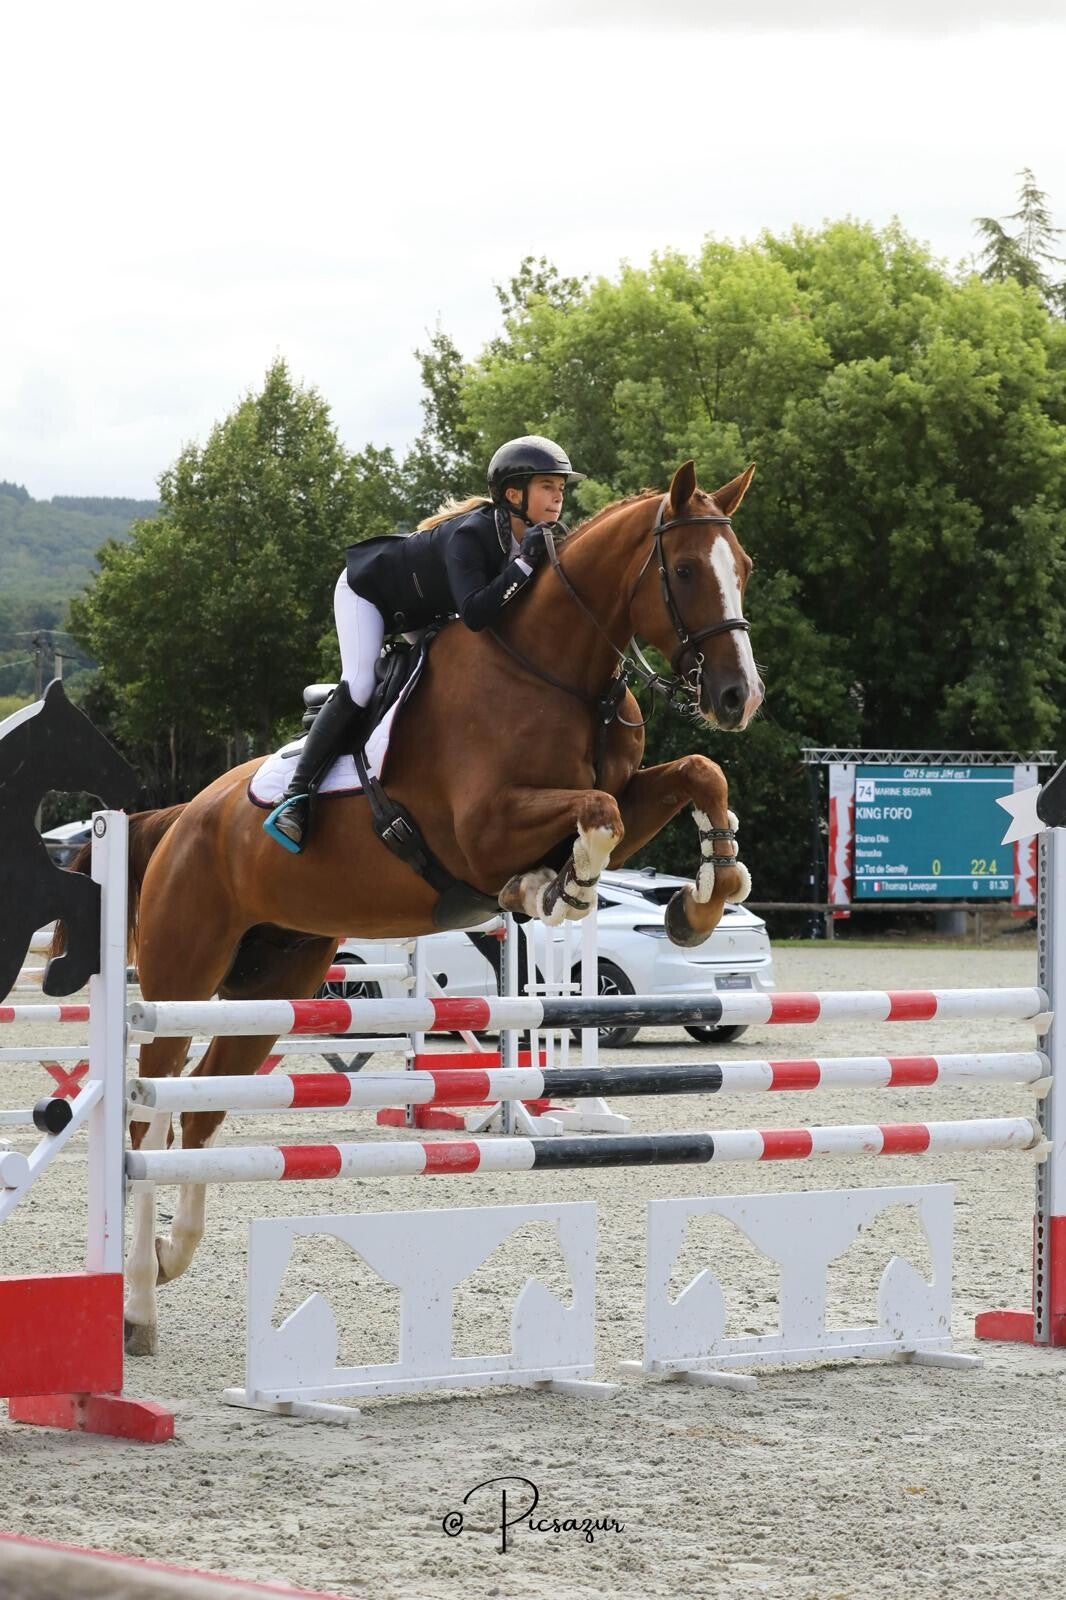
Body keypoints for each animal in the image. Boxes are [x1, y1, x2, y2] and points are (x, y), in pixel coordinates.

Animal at [0, 679, 138, 1000]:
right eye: (83, 734)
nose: (132, 783)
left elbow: (85, 890)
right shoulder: (36, 897)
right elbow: (84, 891)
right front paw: (63, 973)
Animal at [120, 458, 764, 1354]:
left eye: (746, 568)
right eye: (687, 570)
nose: (740, 695)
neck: (556, 668)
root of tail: (184, 816)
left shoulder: (631, 791)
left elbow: (695, 774)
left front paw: (703, 901)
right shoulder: (482, 832)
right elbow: (595, 812)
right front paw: (556, 888)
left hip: (274, 978)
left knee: (204, 1111)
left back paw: (171, 1258)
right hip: (183, 971)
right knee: (149, 1117)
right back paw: (138, 1304)